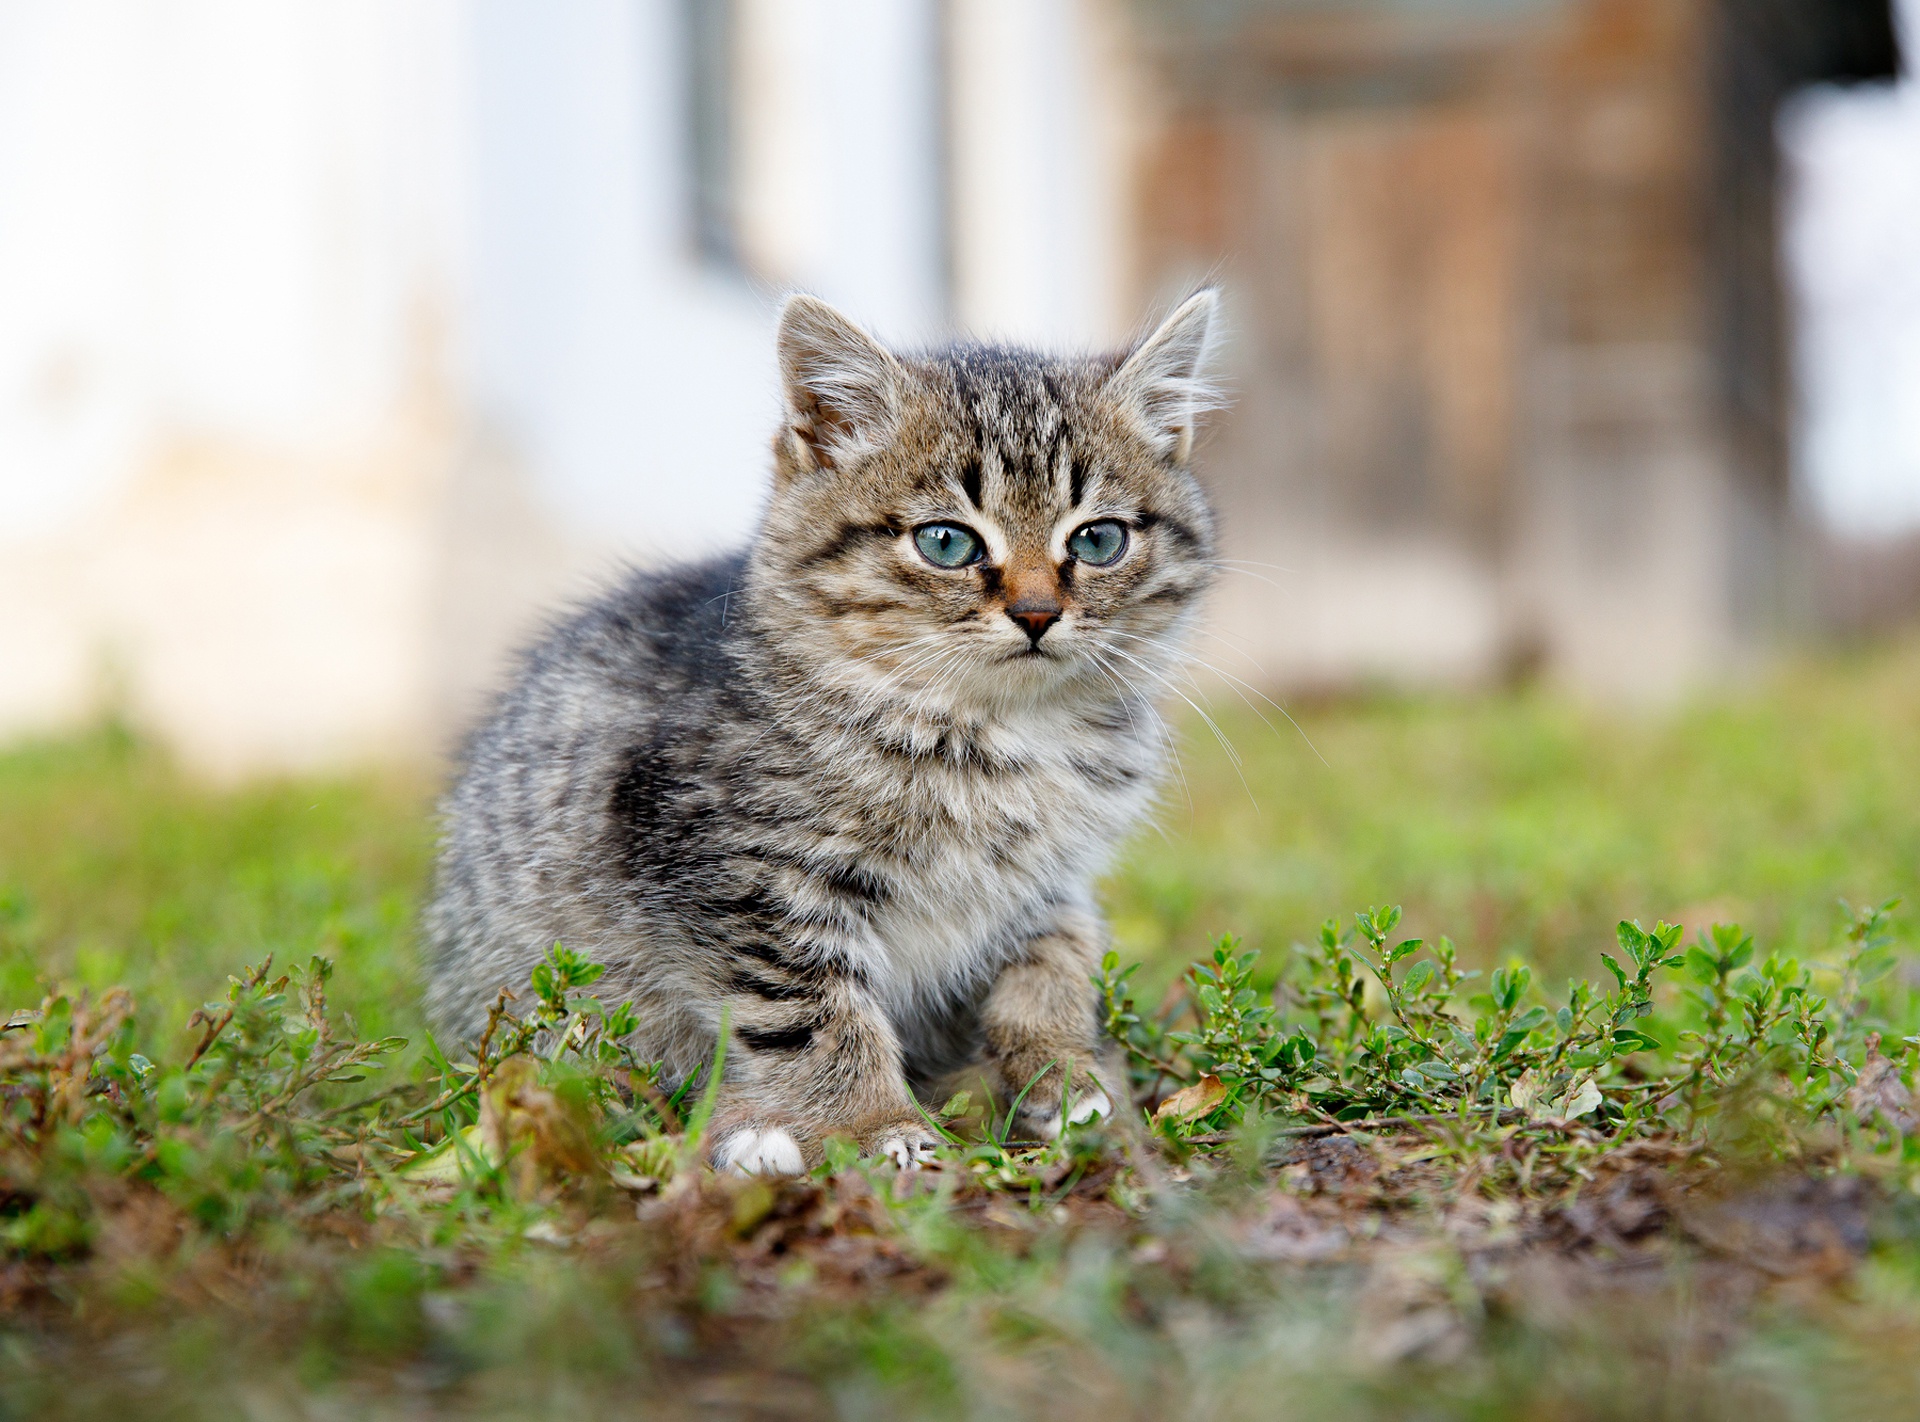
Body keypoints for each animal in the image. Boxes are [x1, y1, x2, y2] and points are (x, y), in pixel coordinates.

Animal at [428, 291, 1221, 1174]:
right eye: (946, 541)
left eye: (1098, 539)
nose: (1038, 612)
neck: (991, 732)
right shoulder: (736, 874)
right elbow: (812, 1011)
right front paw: (873, 1123)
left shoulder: (1050, 878)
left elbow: (1059, 955)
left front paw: (1064, 1069)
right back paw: (752, 1134)